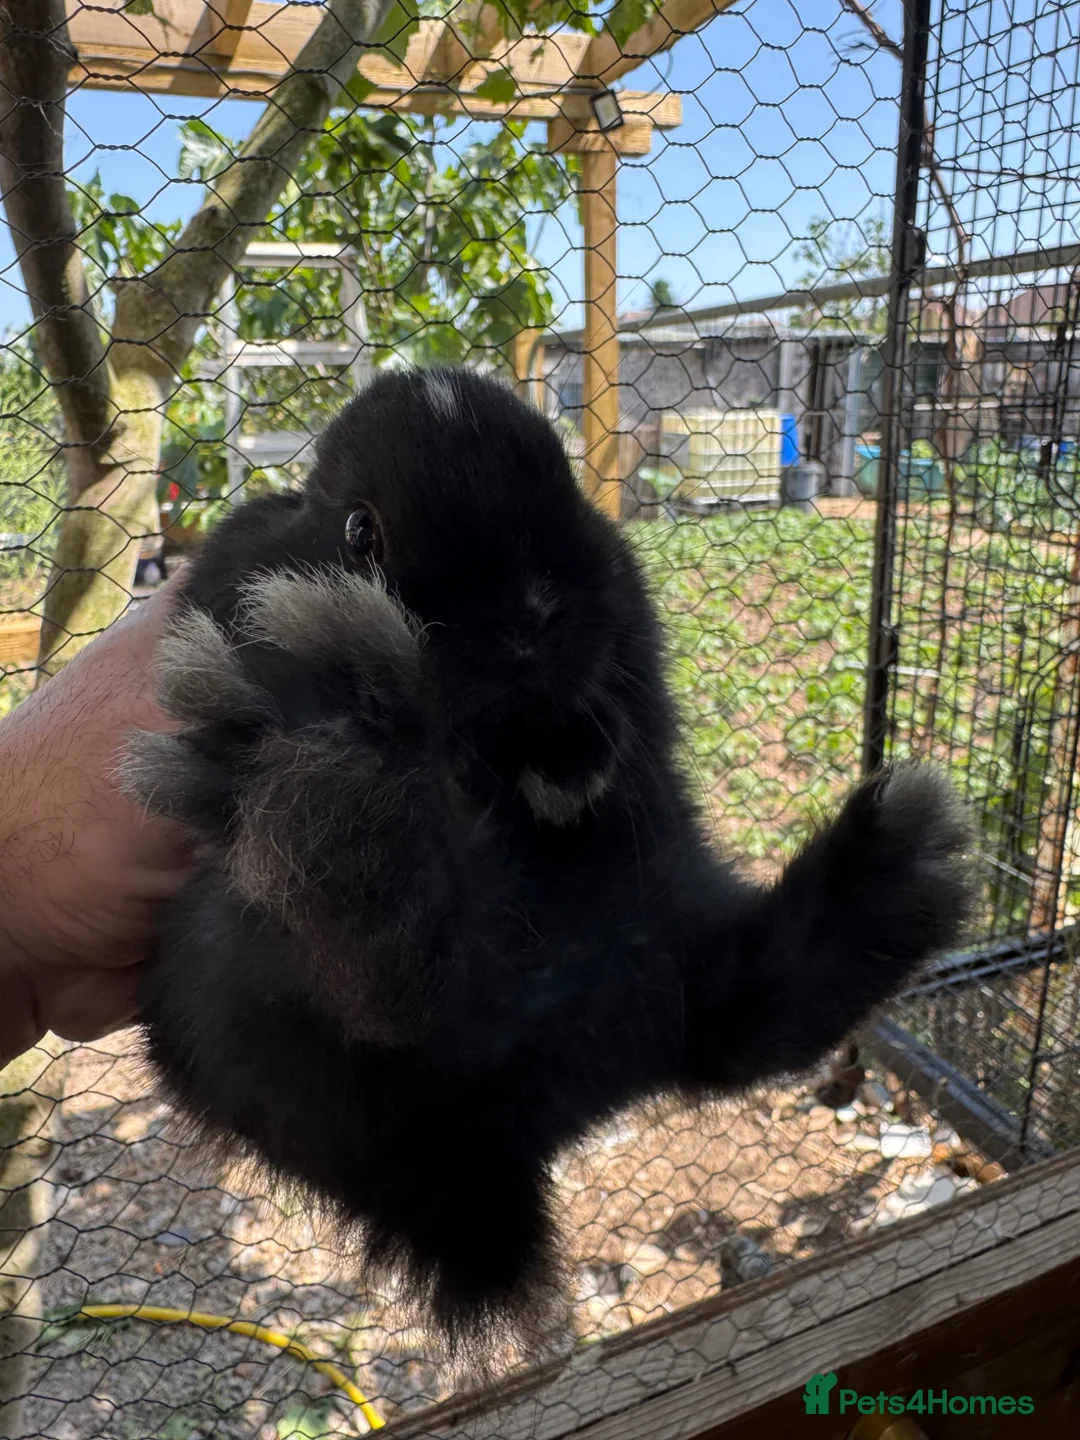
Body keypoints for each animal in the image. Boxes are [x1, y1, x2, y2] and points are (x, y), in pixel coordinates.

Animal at [122, 365, 972, 1356]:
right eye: (361, 531)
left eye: (567, 490)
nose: (530, 616)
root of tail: (499, 1143)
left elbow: (591, 709)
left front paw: (572, 770)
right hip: (231, 965)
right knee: (391, 980)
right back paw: (358, 730)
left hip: (669, 931)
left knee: (746, 1011)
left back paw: (905, 859)